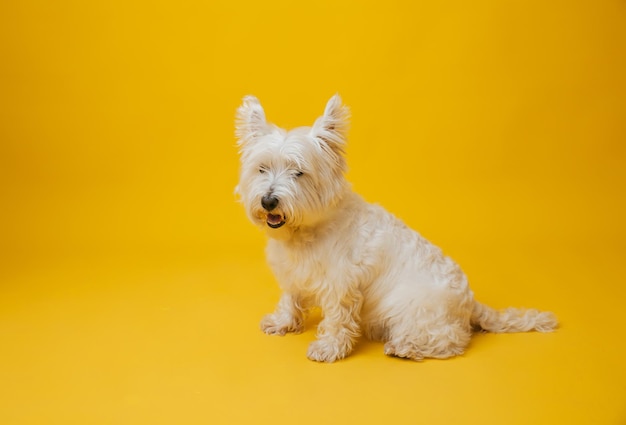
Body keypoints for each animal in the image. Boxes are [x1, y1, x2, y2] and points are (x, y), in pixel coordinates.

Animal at [234, 95, 556, 362]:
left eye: (299, 172)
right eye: (262, 168)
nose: (268, 201)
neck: (305, 231)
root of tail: (471, 302)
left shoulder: (341, 285)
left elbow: (337, 319)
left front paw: (328, 348)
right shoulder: (294, 275)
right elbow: (290, 299)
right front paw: (282, 323)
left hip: (413, 308)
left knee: (452, 340)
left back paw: (404, 347)